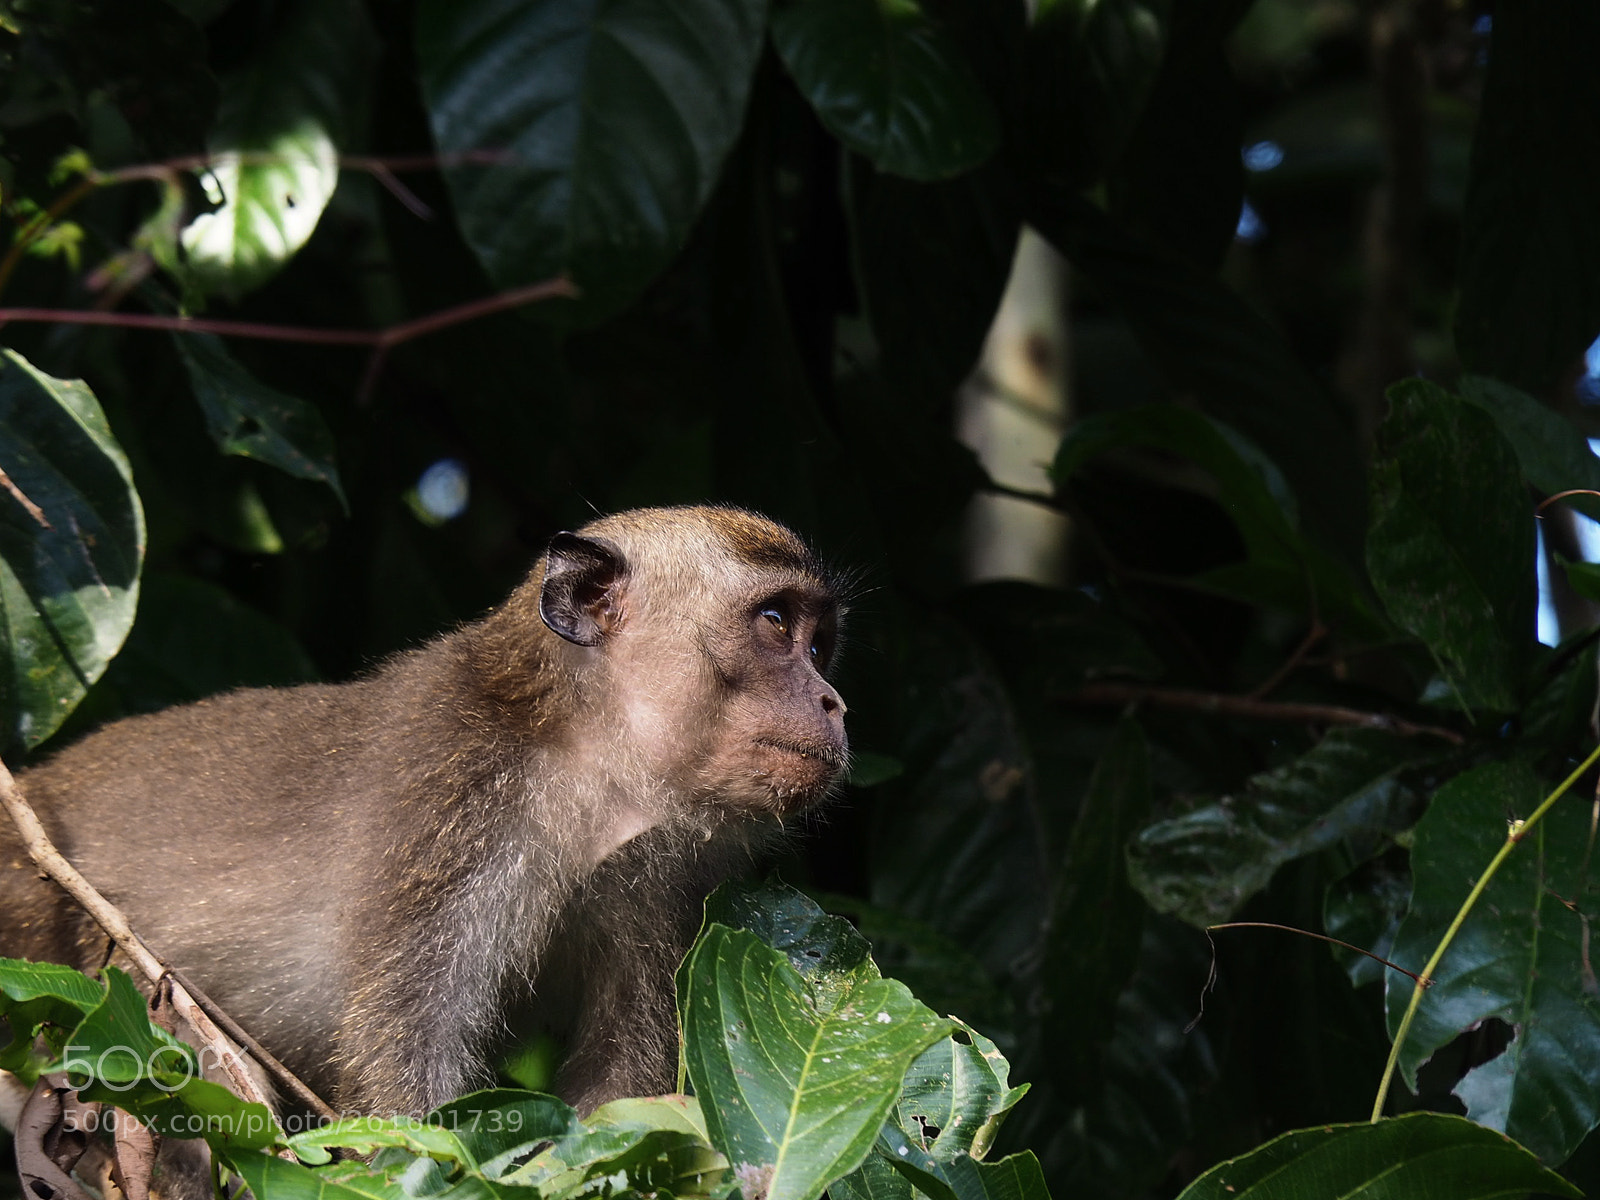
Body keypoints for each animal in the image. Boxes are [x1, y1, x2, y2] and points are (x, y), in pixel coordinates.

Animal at [0, 505, 848, 1125]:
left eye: (820, 644)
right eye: (776, 622)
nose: (833, 702)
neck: (582, 766)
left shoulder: (657, 877)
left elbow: (618, 1083)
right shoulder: (452, 807)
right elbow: (408, 1058)